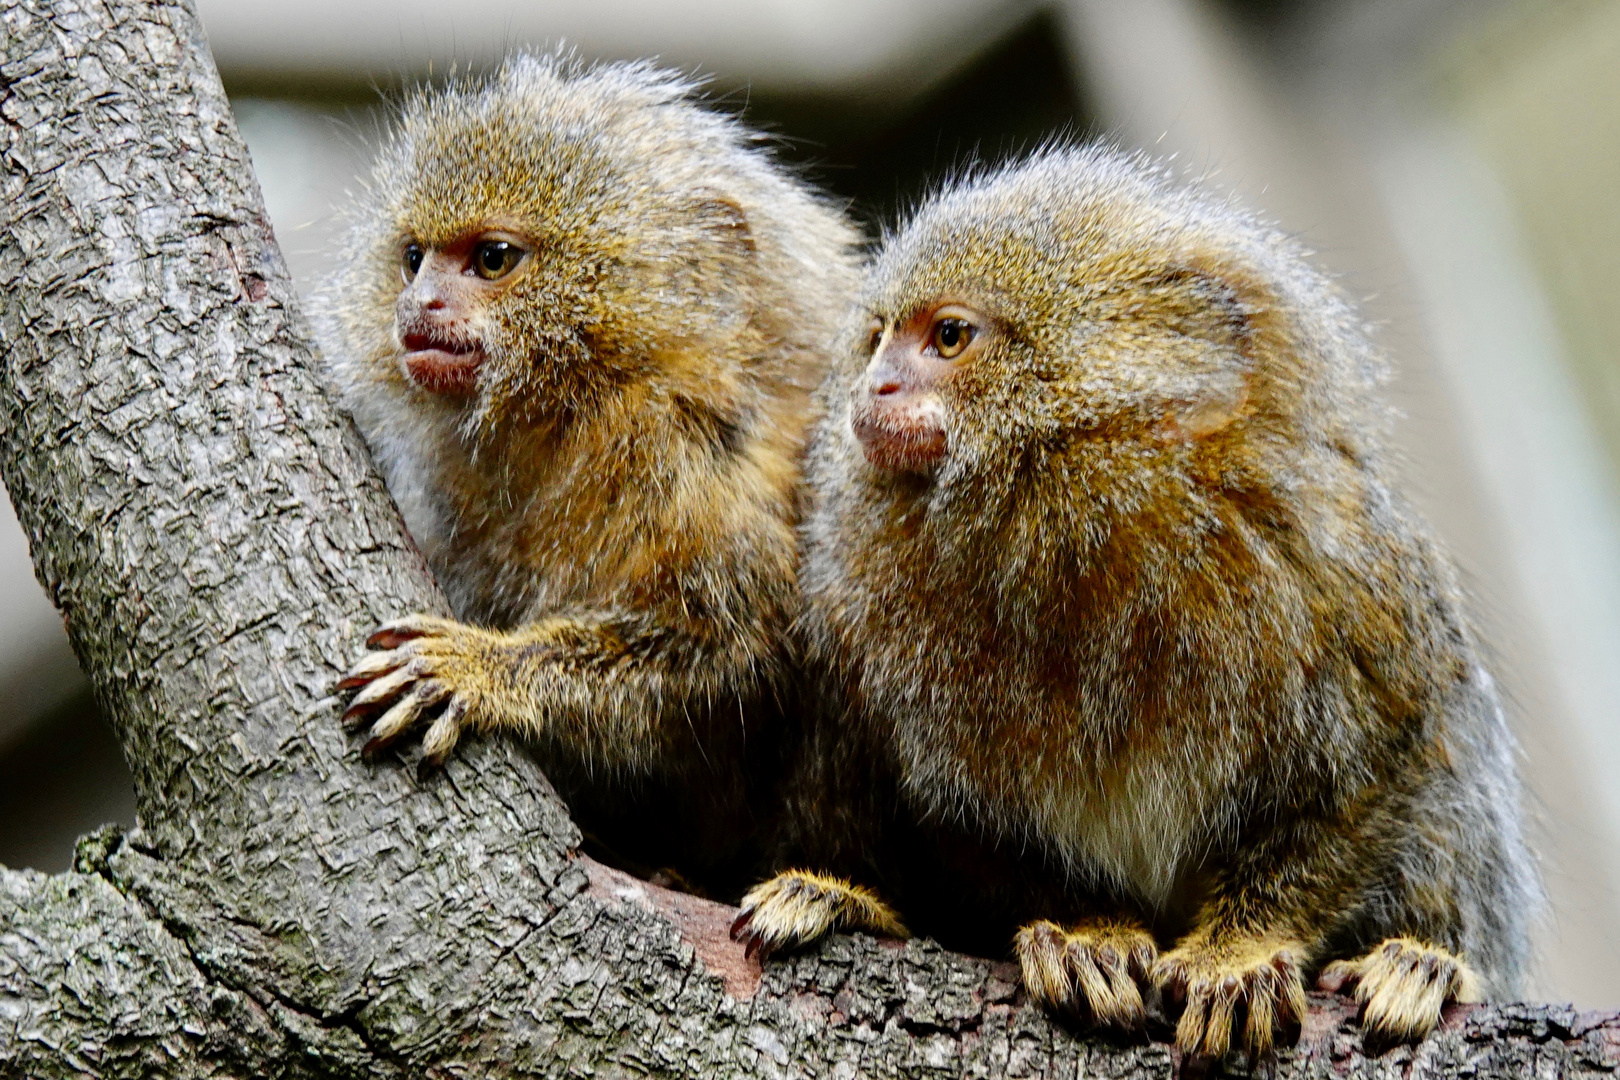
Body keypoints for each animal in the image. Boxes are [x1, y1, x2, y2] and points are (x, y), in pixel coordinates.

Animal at [312, 51, 861, 897]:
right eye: (413, 259)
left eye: (492, 259)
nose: (419, 303)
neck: (581, 416)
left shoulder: (699, 469)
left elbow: (727, 654)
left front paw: (484, 668)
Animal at [731, 144, 1539, 1061]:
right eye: (876, 342)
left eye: (948, 336)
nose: (875, 389)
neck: (1080, 526)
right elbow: (968, 822)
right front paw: (1090, 934)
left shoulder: (1345, 574)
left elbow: (1379, 766)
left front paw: (1240, 952)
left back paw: (1420, 966)